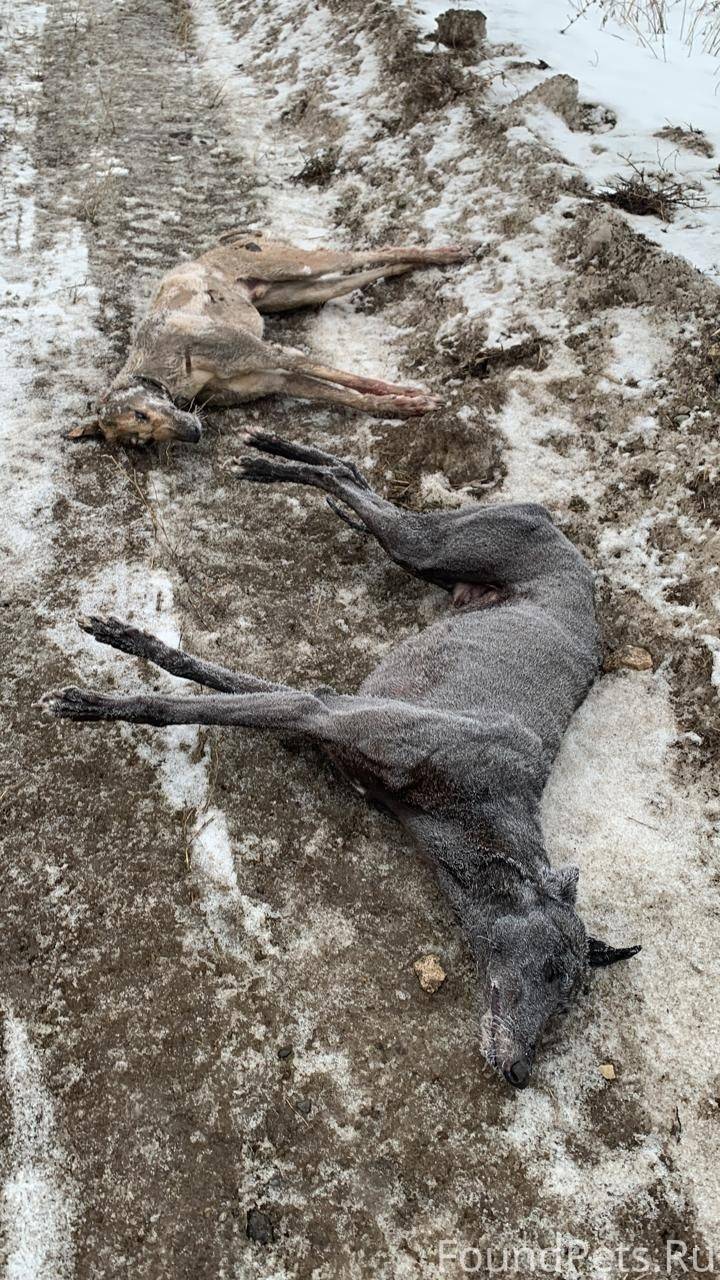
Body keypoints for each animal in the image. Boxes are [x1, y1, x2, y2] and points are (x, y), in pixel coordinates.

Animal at [44, 432, 641, 1089]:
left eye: (569, 1000)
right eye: (553, 970)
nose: (520, 1072)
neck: (478, 807)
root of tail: (556, 528)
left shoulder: (324, 711)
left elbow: (214, 678)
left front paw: (126, 648)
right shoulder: (326, 713)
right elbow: (183, 701)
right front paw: (96, 693)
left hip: (427, 560)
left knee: (353, 476)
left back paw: (270, 453)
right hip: (431, 546)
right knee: (353, 483)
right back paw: (267, 460)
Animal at [68, 232, 468, 447]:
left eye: (141, 412)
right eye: (143, 440)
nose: (193, 434)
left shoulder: (270, 353)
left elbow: (345, 377)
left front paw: (412, 395)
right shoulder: (275, 378)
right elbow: (346, 395)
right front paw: (400, 407)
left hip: (296, 265)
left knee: (366, 254)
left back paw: (445, 254)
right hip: (299, 292)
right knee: (362, 273)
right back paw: (409, 267)